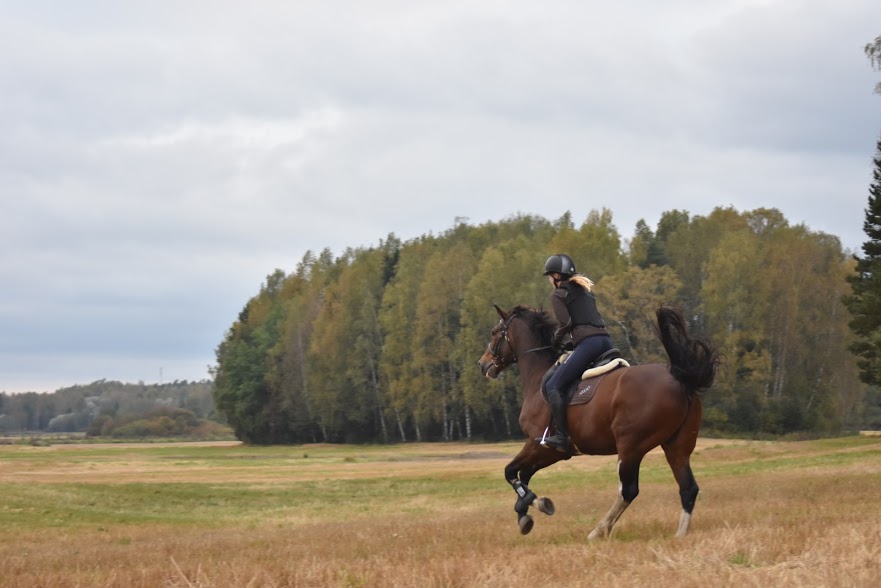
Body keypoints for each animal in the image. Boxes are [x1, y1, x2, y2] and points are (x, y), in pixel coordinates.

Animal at [478, 306, 720, 540]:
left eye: (494, 332)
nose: (483, 363)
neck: (538, 378)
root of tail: (680, 378)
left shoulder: (540, 445)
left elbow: (511, 472)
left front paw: (535, 504)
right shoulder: (553, 452)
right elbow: (523, 475)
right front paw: (524, 512)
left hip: (631, 447)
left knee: (628, 490)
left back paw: (599, 530)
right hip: (676, 446)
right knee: (688, 488)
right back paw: (679, 535)